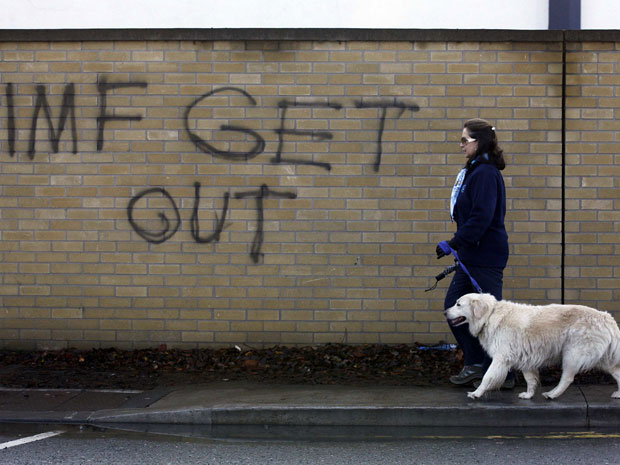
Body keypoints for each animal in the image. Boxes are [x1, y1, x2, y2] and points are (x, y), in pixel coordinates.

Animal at [446, 294, 620, 398]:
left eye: (458, 304)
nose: (445, 312)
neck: (490, 315)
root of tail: (607, 318)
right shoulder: (525, 358)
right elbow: (530, 379)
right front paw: (528, 395)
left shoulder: (501, 358)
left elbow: (487, 377)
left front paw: (476, 393)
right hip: (603, 359)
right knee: (617, 372)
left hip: (572, 354)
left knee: (567, 378)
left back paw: (552, 394)